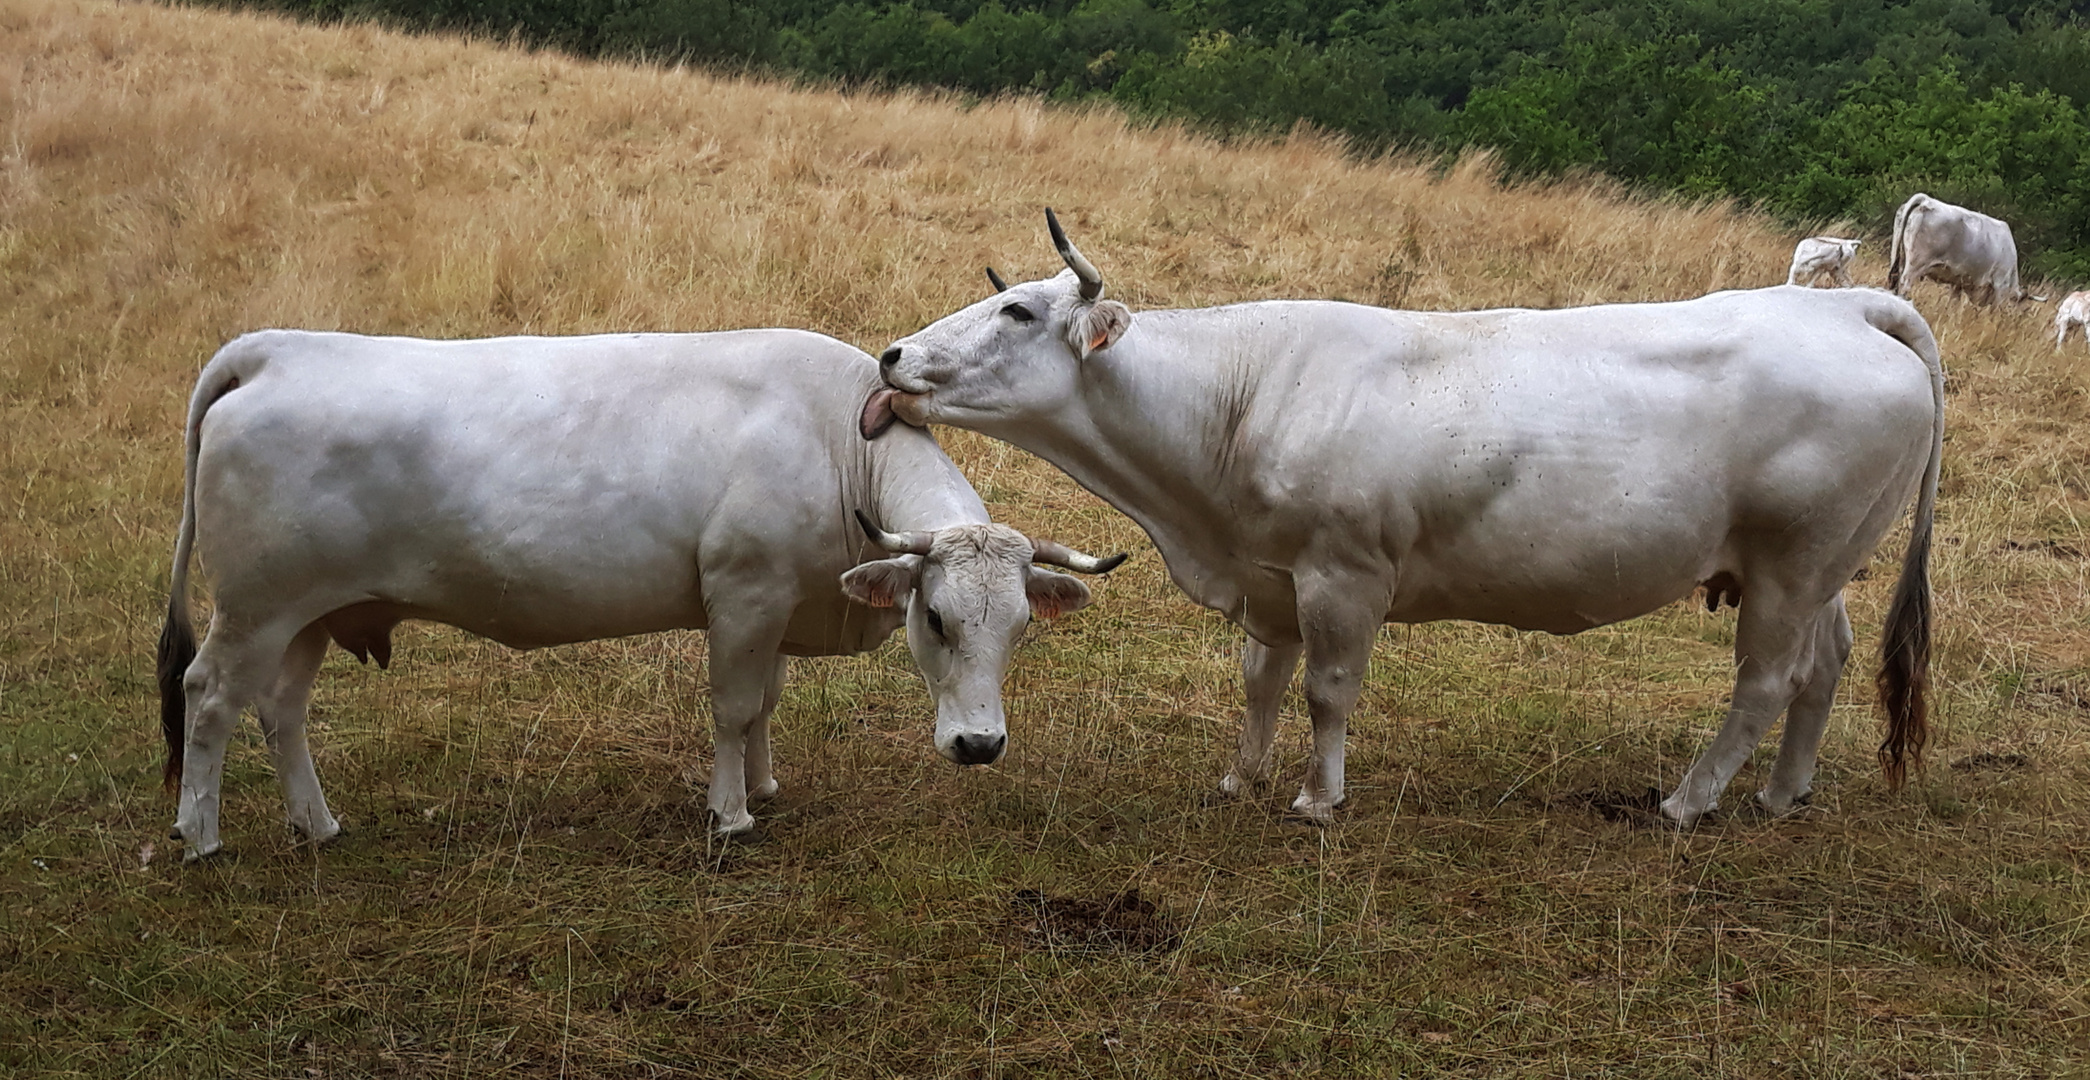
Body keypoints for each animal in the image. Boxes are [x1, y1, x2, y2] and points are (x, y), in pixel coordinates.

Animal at [158, 327, 1128, 860]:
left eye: (1019, 628)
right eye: (933, 617)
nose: (979, 746)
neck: (833, 436)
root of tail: (274, 349)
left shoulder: (774, 608)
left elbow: (765, 703)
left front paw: (766, 783)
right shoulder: (744, 595)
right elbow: (734, 707)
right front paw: (731, 812)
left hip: (308, 616)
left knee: (281, 711)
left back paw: (317, 824)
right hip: (254, 610)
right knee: (209, 699)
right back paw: (199, 835)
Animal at [865, 213, 1939, 835]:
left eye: (1015, 312)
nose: (892, 354)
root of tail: (1850, 311)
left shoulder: (1345, 575)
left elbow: (1327, 691)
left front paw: (1317, 799)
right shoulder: (1270, 579)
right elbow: (1262, 682)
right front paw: (1241, 778)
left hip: (1793, 570)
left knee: (1764, 683)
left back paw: (1689, 800)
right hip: (1817, 571)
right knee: (1824, 666)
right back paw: (1782, 793)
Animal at [1889, 191, 2031, 302]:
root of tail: (1927, 200)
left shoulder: (1958, 283)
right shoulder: (2000, 284)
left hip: (1898, 254)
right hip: (1916, 263)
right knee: (1905, 283)